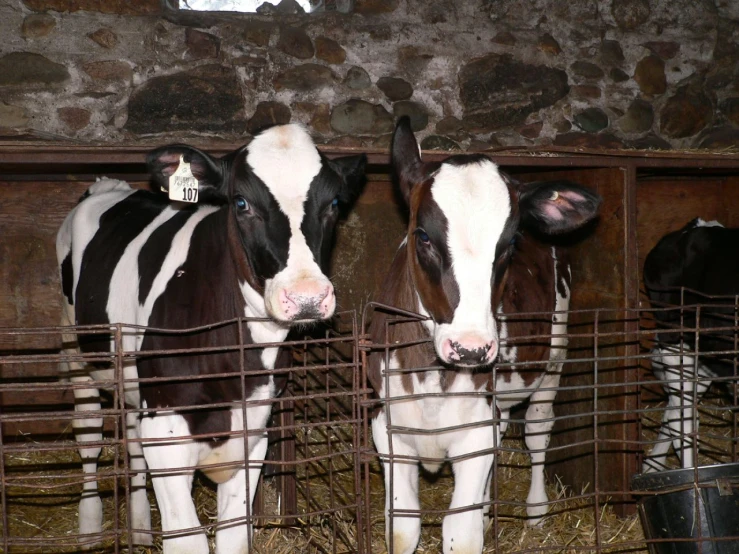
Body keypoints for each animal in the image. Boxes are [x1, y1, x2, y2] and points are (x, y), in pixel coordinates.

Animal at [368, 117, 600, 552]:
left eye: (510, 242)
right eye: (423, 236)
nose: (471, 349)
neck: (431, 378)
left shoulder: (474, 433)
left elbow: (461, 532)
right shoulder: (387, 429)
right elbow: (403, 528)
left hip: (555, 353)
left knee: (538, 429)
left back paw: (535, 510)